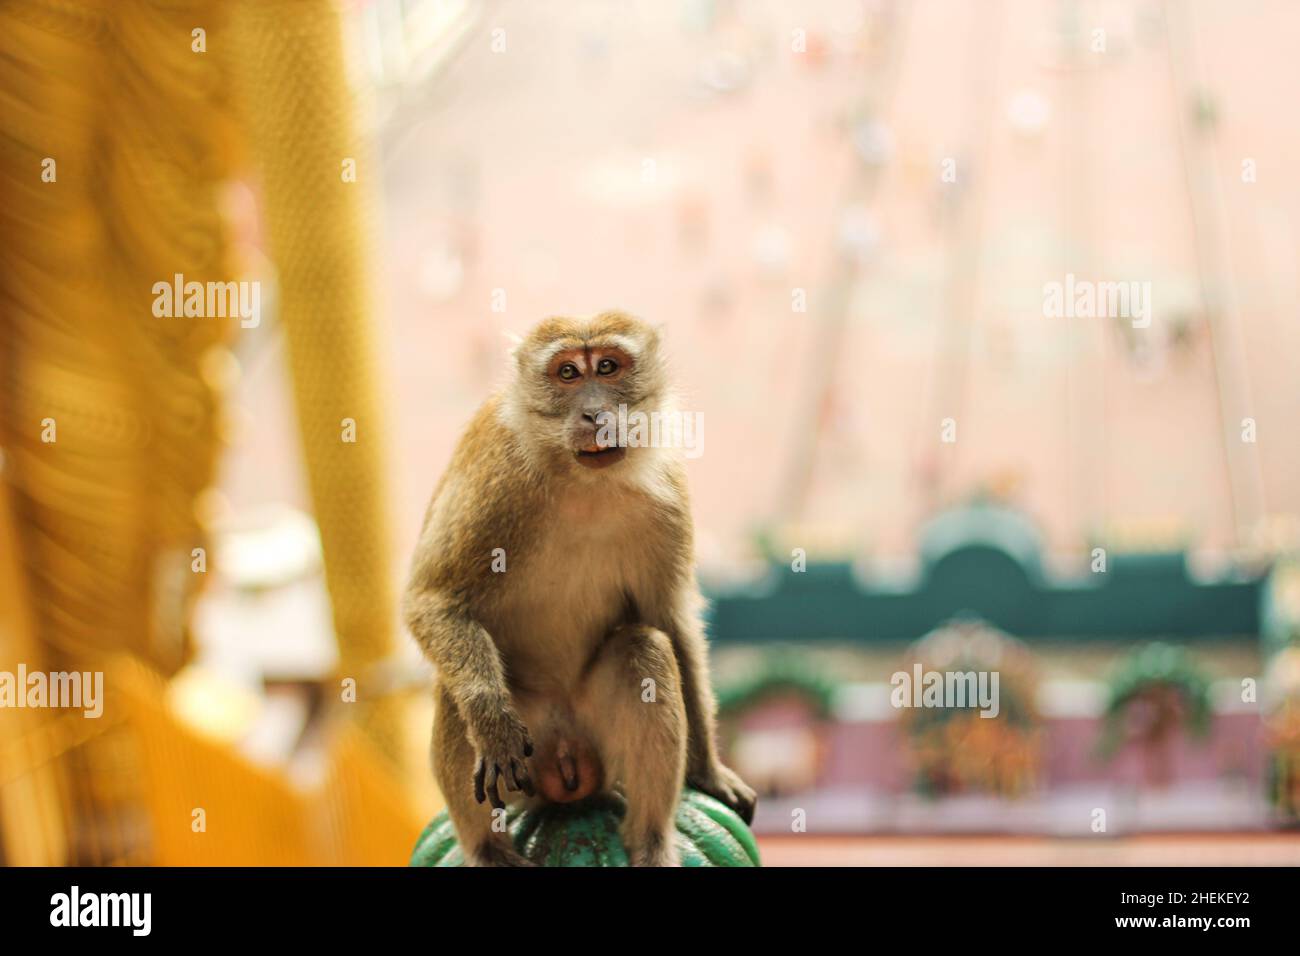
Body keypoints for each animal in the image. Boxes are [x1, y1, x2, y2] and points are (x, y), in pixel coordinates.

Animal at [400, 310, 759, 863]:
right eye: (568, 373)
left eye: (607, 367)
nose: (593, 413)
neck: (582, 479)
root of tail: (565, 765)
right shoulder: (495, 480)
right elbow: (434, 600)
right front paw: (490, 718)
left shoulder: (668, 497)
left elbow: (668, 621)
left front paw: (709, 773)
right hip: (529, 758)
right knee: (451, 685)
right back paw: (487, 849)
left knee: (644, 650)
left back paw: (651, 840)